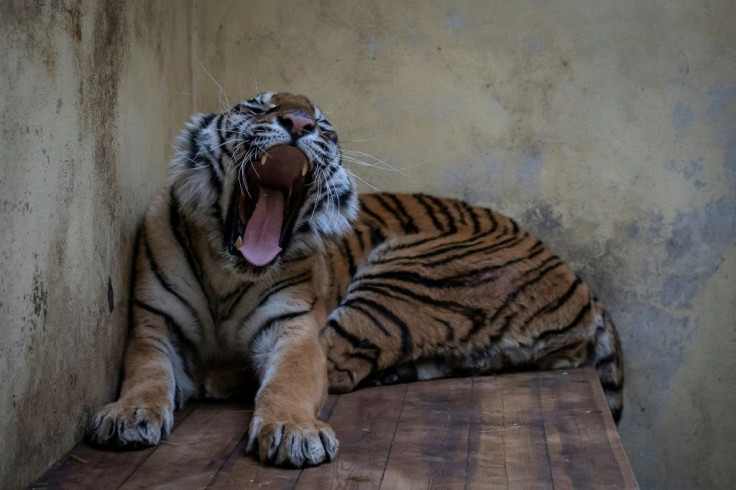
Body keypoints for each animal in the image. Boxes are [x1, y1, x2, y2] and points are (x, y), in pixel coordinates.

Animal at [90, 91, 620, 468]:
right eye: (257, 106)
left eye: (323, 125)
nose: (299, 124)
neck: (229, 270)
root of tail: (585, 289)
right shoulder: (154, 324)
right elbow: (147, 373)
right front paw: (128, 415)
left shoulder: (295, 329)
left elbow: (290, 381)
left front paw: (295, 432)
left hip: (402, 273)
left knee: (340, 364)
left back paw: (213, 379)